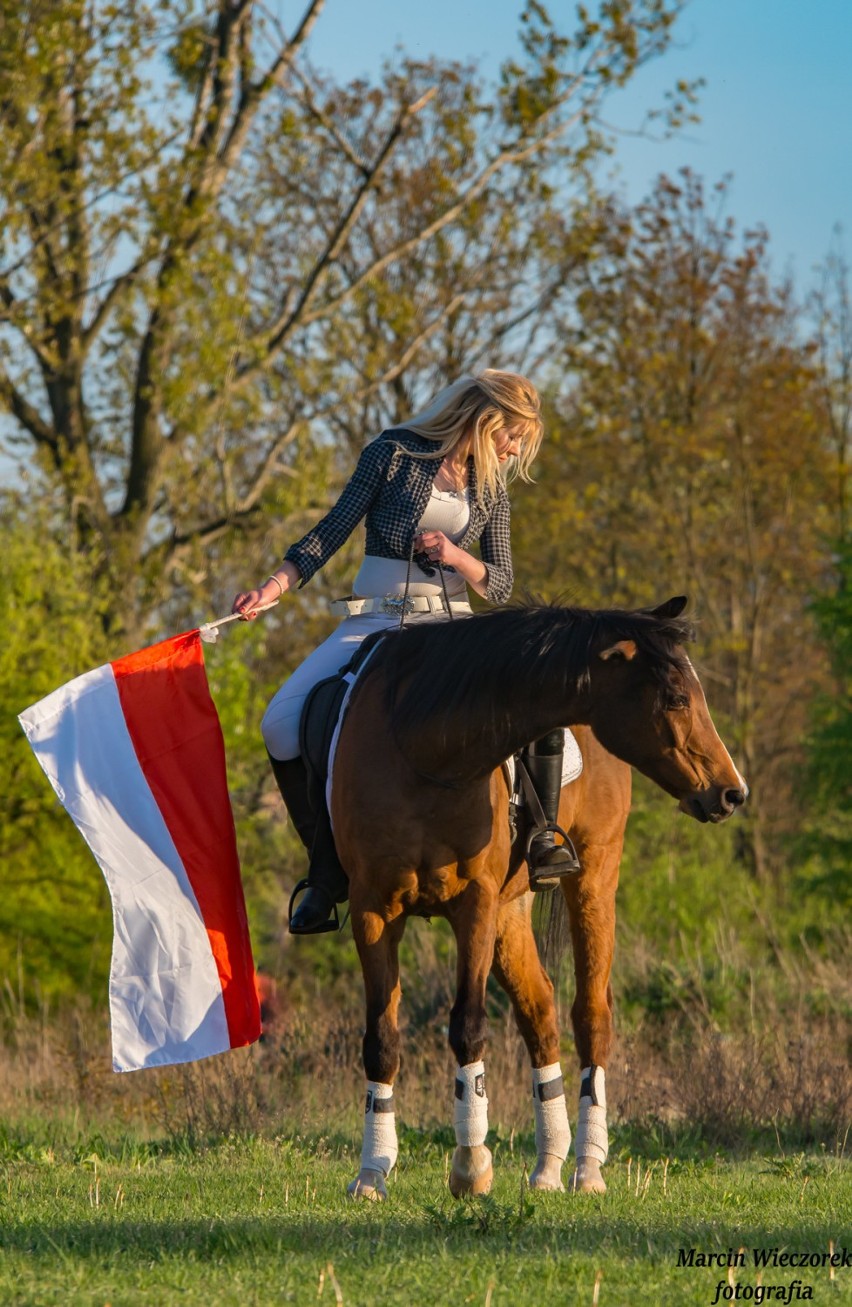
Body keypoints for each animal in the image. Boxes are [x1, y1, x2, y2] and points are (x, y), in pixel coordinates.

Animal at [326, 598, 747, 1197]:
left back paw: (587, 1165)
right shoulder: (374, 911)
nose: (732, 792)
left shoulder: (473, 904)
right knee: (540, 1011)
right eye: (675, 699)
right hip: (509, 913)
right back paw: (549, 1162)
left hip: (592, 881)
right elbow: (381, 1038)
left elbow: (468, 1025)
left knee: (591, 1016)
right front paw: (372, 1171)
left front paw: (471, 1165)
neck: (427, 746)